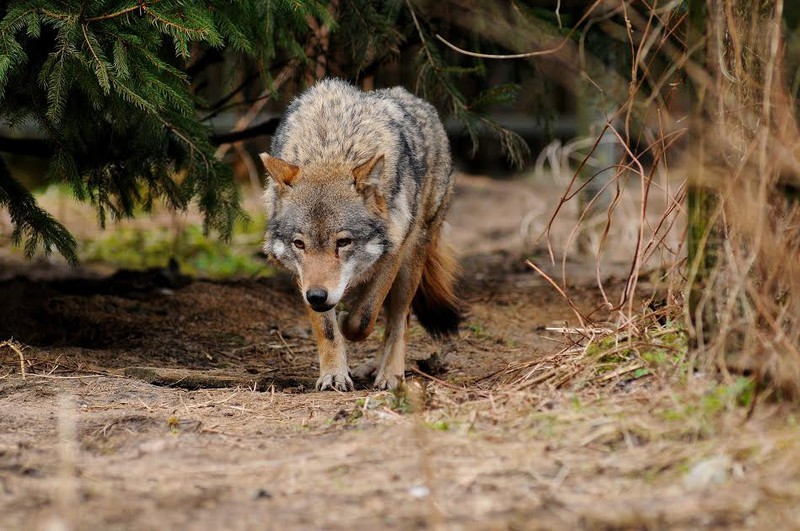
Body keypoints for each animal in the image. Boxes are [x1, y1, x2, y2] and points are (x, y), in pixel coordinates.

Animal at [260, 77, 462, 390]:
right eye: (299, 244)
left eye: (343, 242)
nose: (316, 296)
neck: (332, 146)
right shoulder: (303, 277)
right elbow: (328, 330)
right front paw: (333, 374)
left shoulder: (392, 254)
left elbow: (363, 320)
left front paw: (347, 322)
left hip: (411, 259)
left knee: (399, 320)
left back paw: (390, 373)